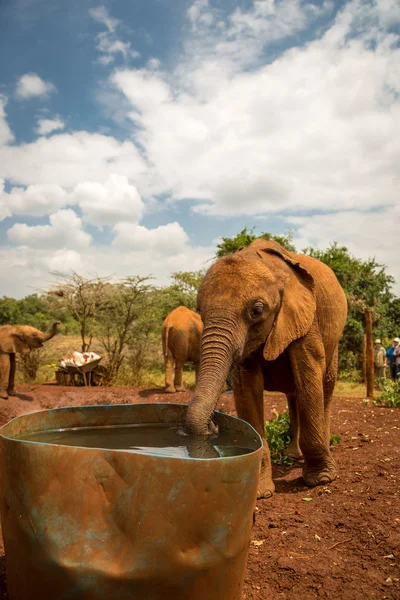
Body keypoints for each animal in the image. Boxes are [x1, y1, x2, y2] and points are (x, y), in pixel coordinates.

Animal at [186, 239, 348, 496]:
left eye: (257, 311)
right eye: (199, 311)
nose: (213, 425)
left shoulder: (306, 318)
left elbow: (309, 374)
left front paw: (320, 480)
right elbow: (247, 388)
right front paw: (261, 491)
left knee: (325, 388)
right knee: (294, 395)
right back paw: (292, 455)